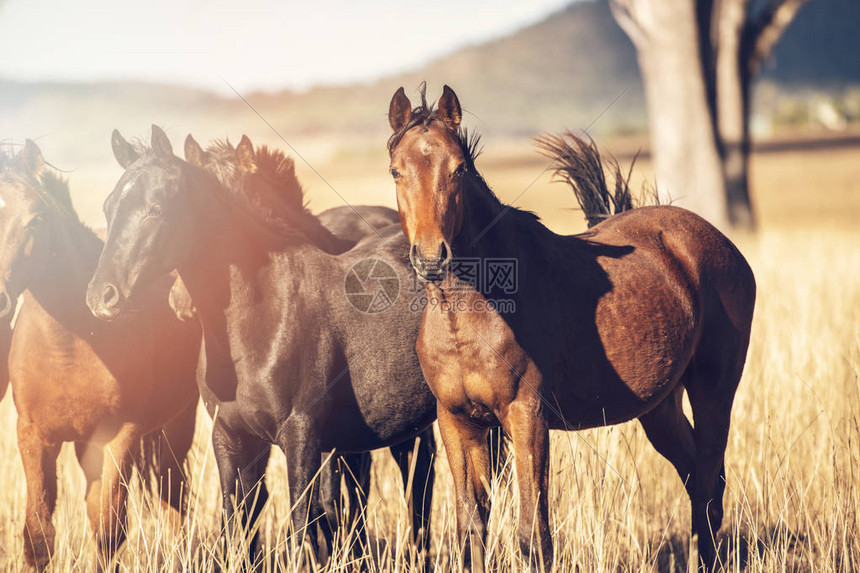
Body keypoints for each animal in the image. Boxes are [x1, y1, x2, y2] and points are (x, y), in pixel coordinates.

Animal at [0, 140, 201, 568]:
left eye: (35, 219)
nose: (0, 298)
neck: (69, 342)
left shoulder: (118, 436)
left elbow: (109, 532)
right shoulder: (33, 435)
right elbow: (38, 536)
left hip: (177, 423)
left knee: (173, 499)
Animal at [85, 125, 444, 564]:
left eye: (156, 208)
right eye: (109, 208)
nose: (101, 297)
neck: (260, 322)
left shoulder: (302, 435)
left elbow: (305, 527)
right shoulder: (231, 437)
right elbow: (239, 523)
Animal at [386, 86, 756, 572]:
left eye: (459, 168)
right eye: (396, 171)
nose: (431, 256)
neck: (467, 320)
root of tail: (719, 243)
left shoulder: (527, 417)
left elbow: (533, 536)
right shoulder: (457, 422)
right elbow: (471, 531)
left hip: (714, 391)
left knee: (710, 488)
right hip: (660, 408)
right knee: (699, 481)